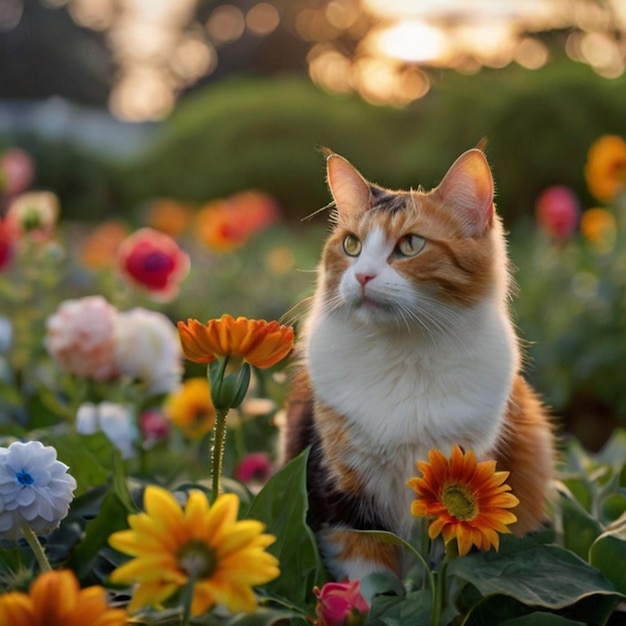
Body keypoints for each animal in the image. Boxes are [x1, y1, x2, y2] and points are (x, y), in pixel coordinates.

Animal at [280, 146, 552, 580]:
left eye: (410, 245)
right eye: (352, 245)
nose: (362, 275)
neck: (404, 353)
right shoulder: (343, 495)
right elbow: (368, 577)